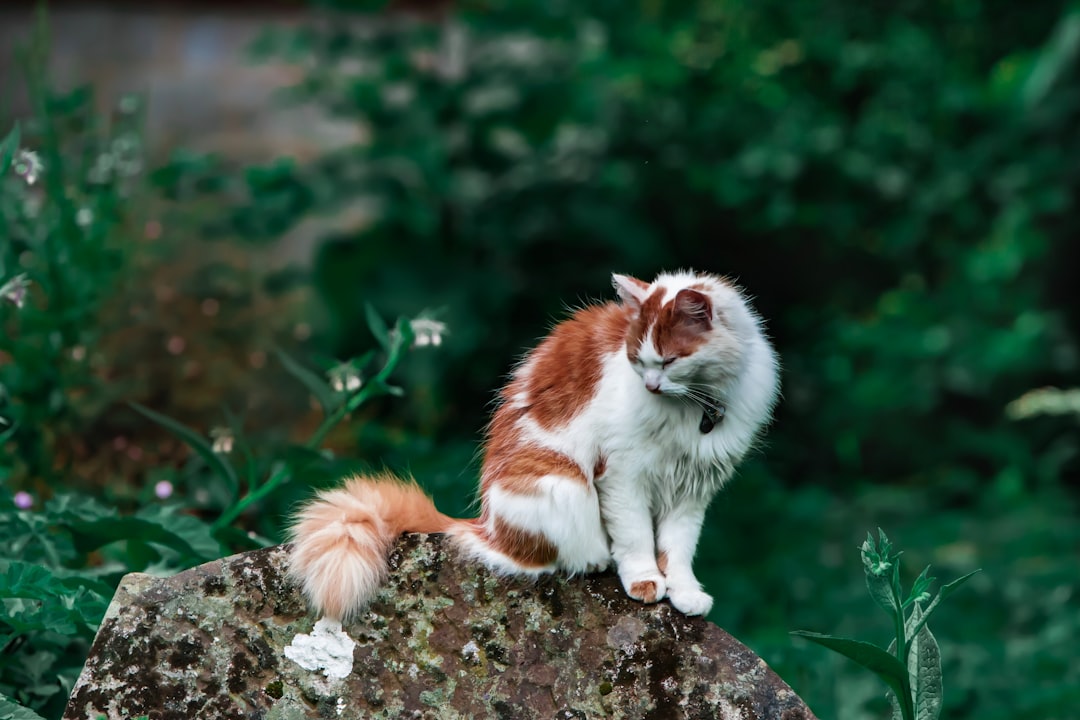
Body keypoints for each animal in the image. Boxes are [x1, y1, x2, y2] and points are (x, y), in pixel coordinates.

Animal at [287, 269, 777, 621]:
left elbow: (677, 548)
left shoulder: (693, 489)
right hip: (564, 483)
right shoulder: (622, 474)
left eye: (671, 361)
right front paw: (645, 582)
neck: (694, 407)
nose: (652, 386)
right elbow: (637, 536)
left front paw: (685, 592)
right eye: (638, 361)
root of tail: (483, 524)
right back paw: (597, 560)